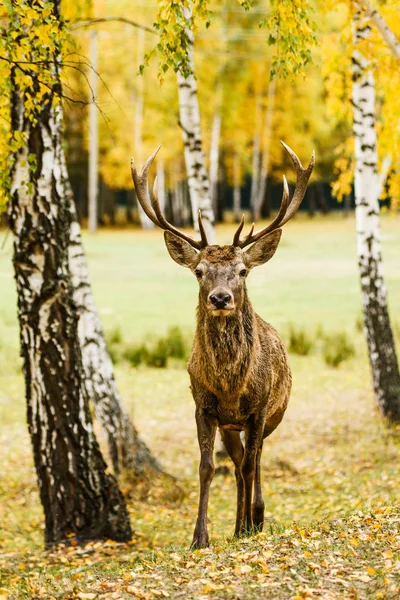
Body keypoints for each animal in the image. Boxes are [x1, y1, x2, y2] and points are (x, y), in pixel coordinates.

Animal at [130, 142, 314, 548]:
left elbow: (249, 463)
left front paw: (251, 522)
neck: (230, 387)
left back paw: (252, 520)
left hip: (273, 414)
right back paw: (238, 525)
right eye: (199, 271)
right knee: (239, 459)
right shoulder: (203, 407)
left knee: (253, 461)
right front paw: (200, 536)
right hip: (232, 427)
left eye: (242, 271)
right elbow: (207, 467)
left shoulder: (259, 409)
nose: (220, 297)